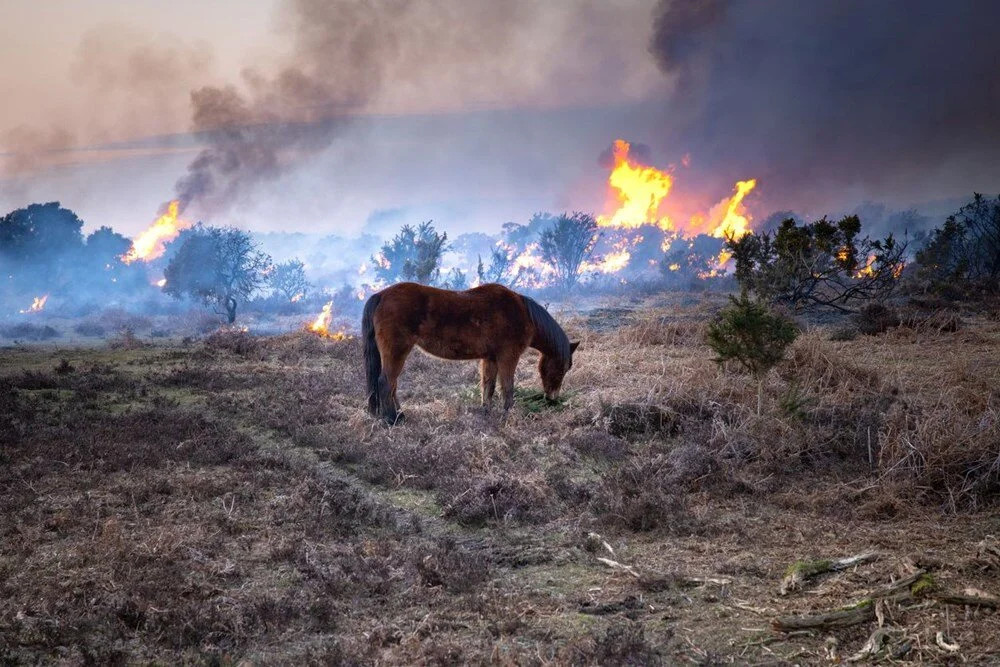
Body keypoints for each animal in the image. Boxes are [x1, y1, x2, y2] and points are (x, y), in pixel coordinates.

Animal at [362, 282, 580, 422]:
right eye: (562, 369)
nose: (552, 398)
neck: (522, 313)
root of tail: (381, 295)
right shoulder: (508, 357)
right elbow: (507, 387)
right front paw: (507, 414)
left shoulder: (490, 358)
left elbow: (489, 386)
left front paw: (486, 412)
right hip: (397, 352)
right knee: (386, 383)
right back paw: (392, 419)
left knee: (391, 385)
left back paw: (399, 415)